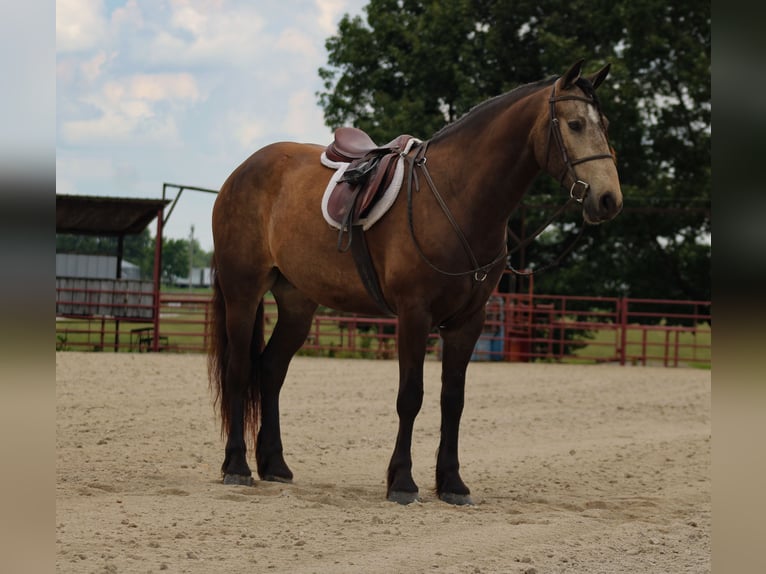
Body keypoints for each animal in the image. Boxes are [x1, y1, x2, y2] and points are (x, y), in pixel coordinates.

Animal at [208, 59, 623, 505]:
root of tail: (241, 173)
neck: (457, 197)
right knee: (239, 369)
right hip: (243, 291)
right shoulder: (413, 315)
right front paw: (402, 482)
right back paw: (237, 466)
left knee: (271, 370)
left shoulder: (468, 322)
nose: (608, 200)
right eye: (576, 124)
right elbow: (411, 397)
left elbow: (452, 400)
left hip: (297, 303)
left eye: (606, 124)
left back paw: (275, 465)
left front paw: (452, 483)